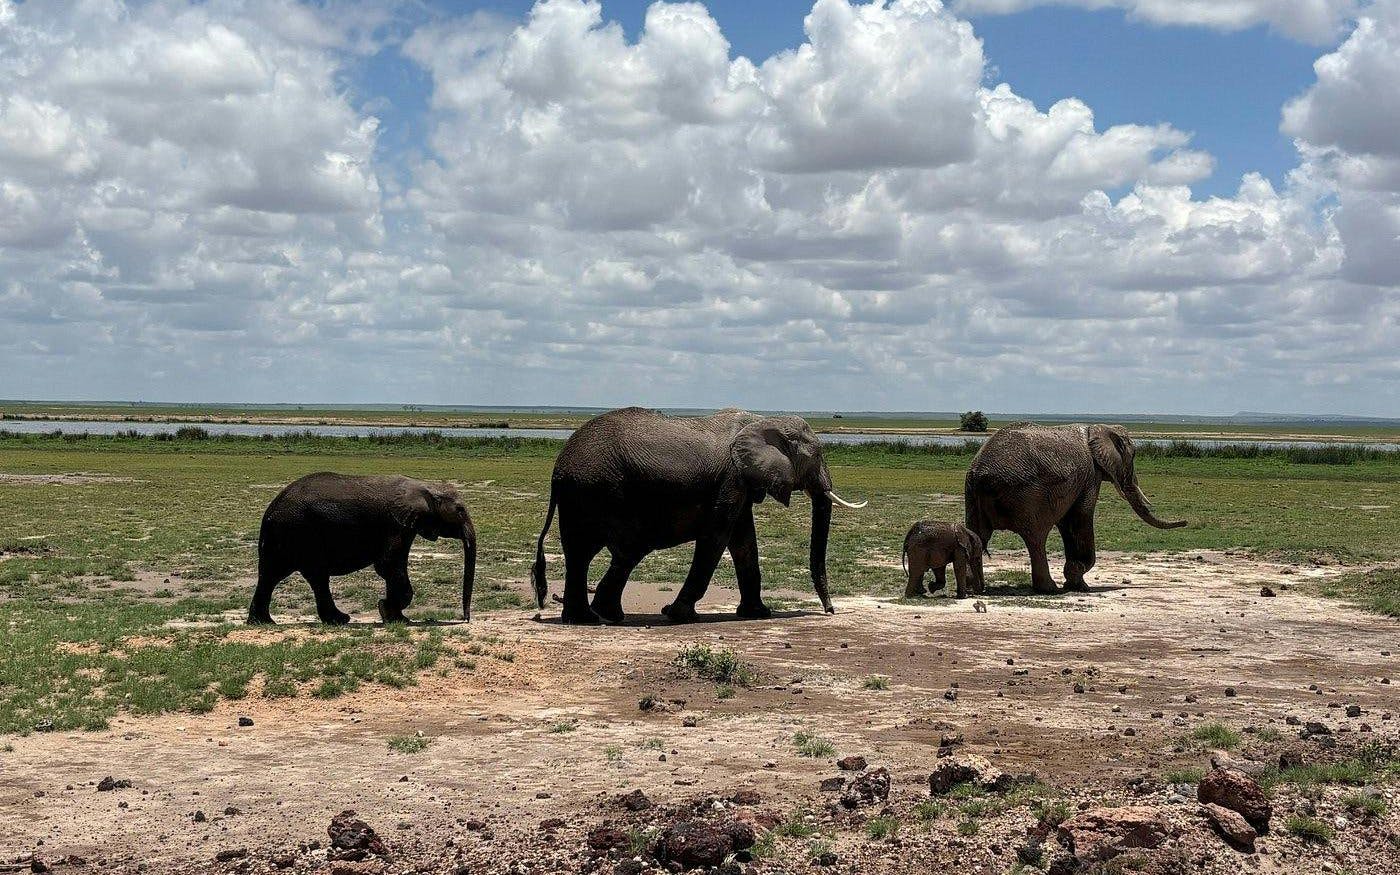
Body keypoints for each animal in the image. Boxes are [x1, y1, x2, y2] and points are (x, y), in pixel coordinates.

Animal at [247, 472, 477, 625]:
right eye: (460, 510)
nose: (465, 619)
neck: (424, 485)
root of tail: (270, 511)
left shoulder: (405, 525)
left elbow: (392, 567)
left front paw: (395, 617)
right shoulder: (396, 525)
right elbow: (388, 565)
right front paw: (387, 611)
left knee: (277, 576)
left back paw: (265, 622)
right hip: (298, 532)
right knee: (297, 576)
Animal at [530, 407, 867, 625]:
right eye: (817, 457)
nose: (830, 611)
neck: (763, 420)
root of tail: (558, 467)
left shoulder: (740, 482)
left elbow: (744, 541)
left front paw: (757, 614)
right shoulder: (730, 480)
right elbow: (716, 538)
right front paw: (675, 614)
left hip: (582, 496)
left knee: (596, 553)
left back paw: (597, 616)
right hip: (592, 492)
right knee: (609, 550)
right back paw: (593, 618)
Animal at [964, 423, 1185, 594]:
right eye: (1133, 456)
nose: (1185, 522)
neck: (1097, 429)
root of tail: (979, 472)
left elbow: (1067, 522)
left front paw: (1074, 581)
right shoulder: (1091, 475)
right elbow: (1081, 516)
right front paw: (1079, 583)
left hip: (972, 494)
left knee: (976, 536)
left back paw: (973, 588)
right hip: (1027, 495)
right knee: (1036, 537)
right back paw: (1049, 589)